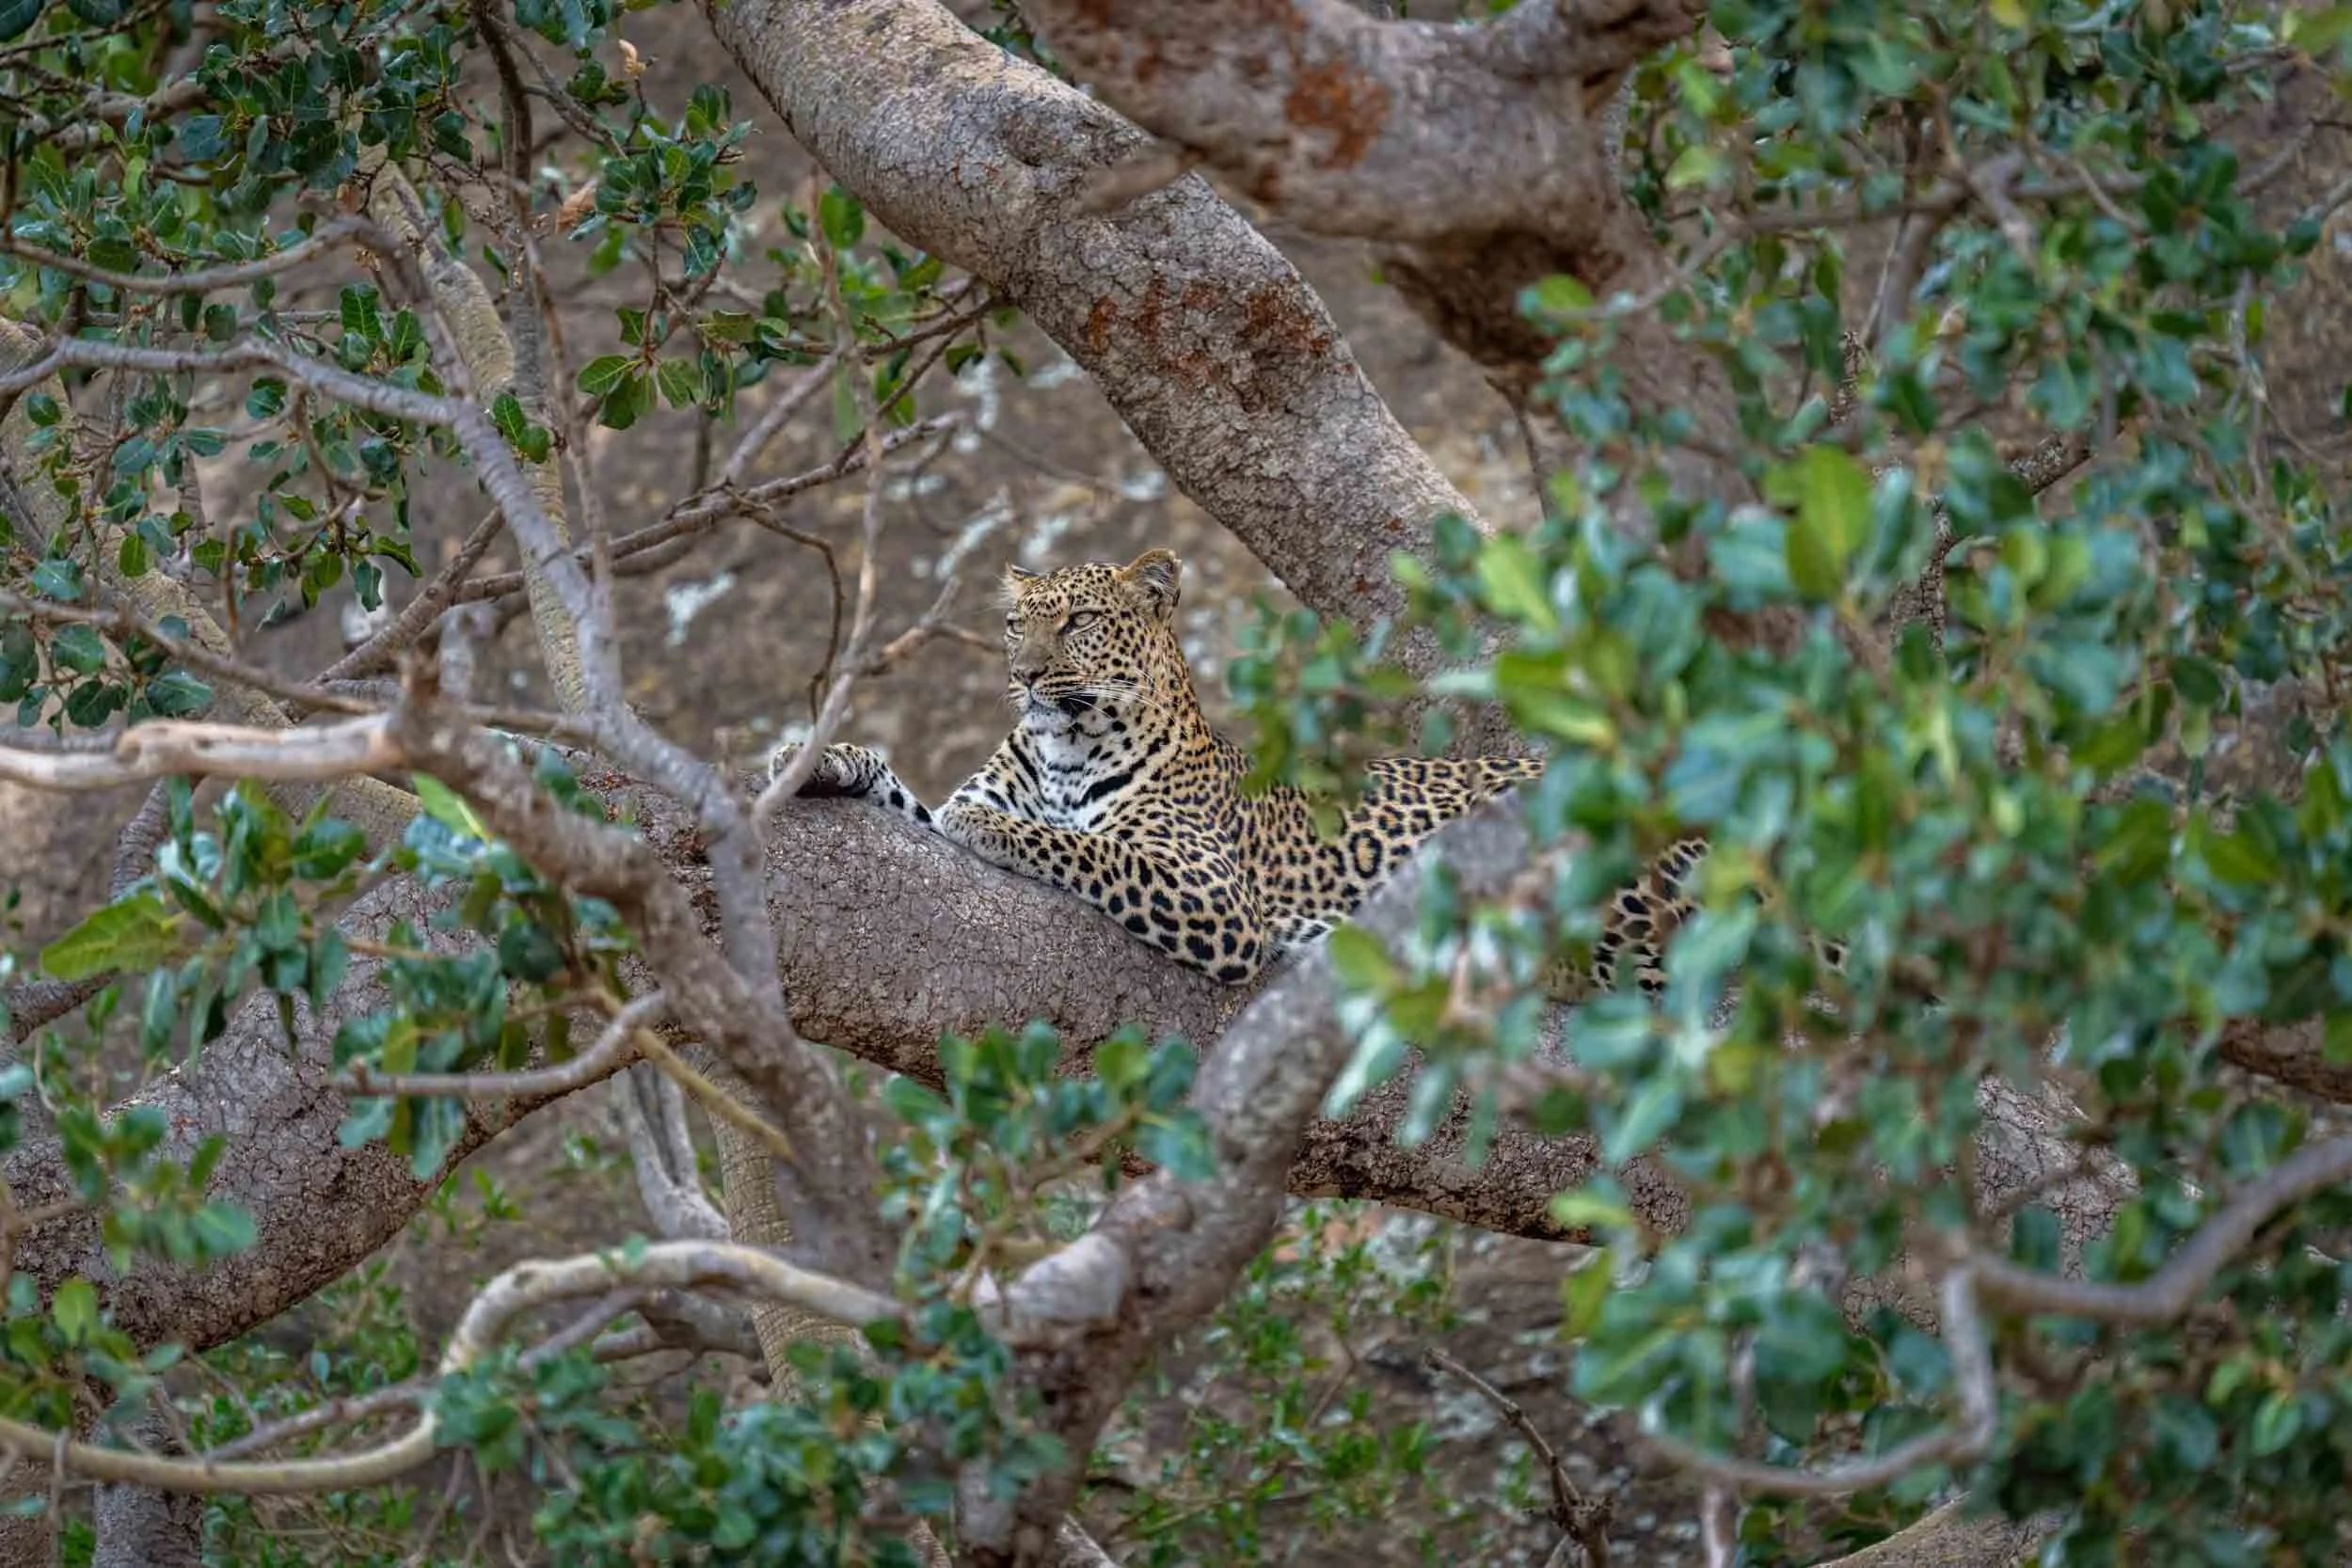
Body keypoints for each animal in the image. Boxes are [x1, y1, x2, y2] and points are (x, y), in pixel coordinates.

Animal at [767, 547, 1720, 998]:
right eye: (1014, 623)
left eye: (1078, 621)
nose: (1026, 675)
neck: (1066, 747)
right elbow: (915, 801)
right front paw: (816, 758)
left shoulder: (1214, 896)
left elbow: (1086, 848)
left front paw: (999, 828)